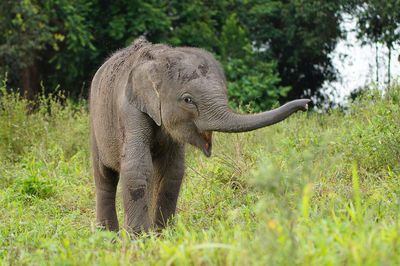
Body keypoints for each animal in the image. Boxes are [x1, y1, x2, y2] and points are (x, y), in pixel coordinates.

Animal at [90, 38, 310, 235]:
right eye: (188, 100)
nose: (307, 103)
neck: (159, 58)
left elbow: (173, 170)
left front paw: (162, 236)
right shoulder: (129, 111)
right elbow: (137, 167)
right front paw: (140, 240)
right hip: (95, 126)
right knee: (104, 177)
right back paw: (107, 237)